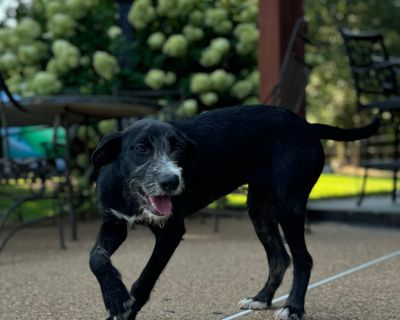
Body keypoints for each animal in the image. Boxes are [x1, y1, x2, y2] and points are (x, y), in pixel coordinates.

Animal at [89, 104, 380, 318]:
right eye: (140, 148)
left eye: (177, 148)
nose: (172, 181)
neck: (128, 193)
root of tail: (308, 126)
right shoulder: (114, 224)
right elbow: (96, 259)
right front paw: (115, 295)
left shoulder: (171, 232)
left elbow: (145, 278)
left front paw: (124, 308)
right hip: (259, 209)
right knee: (279, 257)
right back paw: (262, 299)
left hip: (290, 204)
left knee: (302, 258)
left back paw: (293, 308)